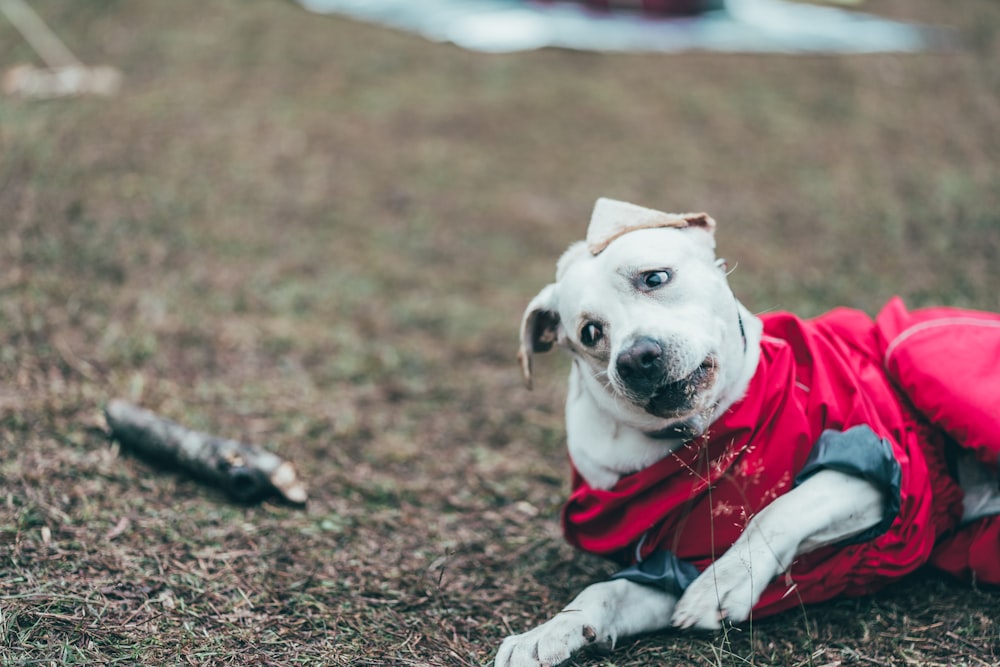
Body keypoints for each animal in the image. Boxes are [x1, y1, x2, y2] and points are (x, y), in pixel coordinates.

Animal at [496, 198, 1000, 667]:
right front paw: (549, 632)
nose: (636, 358)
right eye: (590, 333)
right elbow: (604, 592)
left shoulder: (876, 472)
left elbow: (779, 510)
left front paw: (727, 582)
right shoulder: (669, 571)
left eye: (654, 278)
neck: (702, 438)